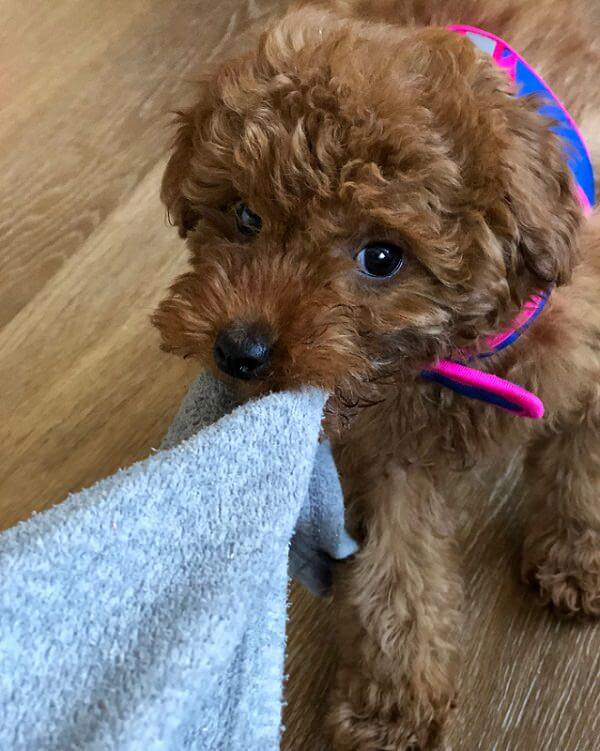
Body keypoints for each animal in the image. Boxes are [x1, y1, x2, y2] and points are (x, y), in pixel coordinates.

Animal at [151, 2, 600, 748]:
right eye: (244, 216)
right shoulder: (395, 454)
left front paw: (578, 553)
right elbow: (399, 569)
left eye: (381, 257)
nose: (239, 350)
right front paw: (391, 703)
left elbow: (582, 468)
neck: (453, 357)